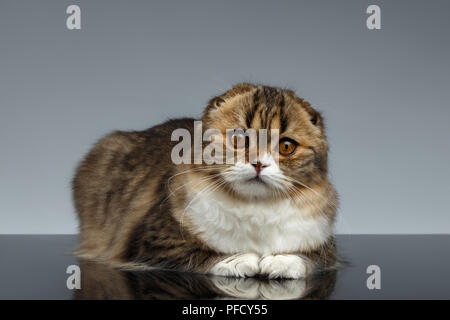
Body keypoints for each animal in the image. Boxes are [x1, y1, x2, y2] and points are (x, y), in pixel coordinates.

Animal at [73, 84, 338, 278]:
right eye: (239, 139)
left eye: (286, 146)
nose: (259, 164)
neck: (255, 209)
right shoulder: (154, 241)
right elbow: (203, 252)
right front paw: (244, 259)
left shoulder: (327, 249)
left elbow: (306, 259)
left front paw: (279, 262)